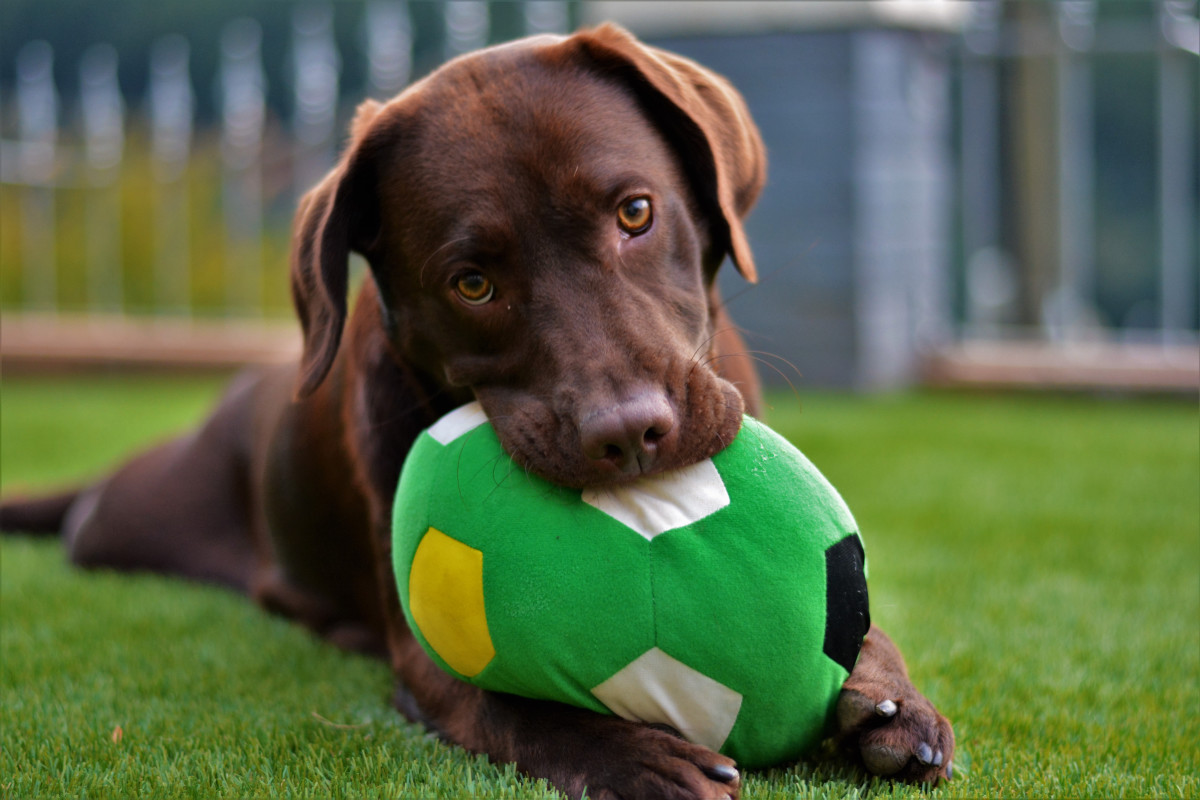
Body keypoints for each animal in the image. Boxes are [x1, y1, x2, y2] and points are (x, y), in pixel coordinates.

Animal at [4, 23, 950, 796]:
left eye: (635, 212)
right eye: (472, 283)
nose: (631, 433)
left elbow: (861, 621)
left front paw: (890, 698)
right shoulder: (430, 660)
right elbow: (513, 707)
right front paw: (635, 757)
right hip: (125, 522)